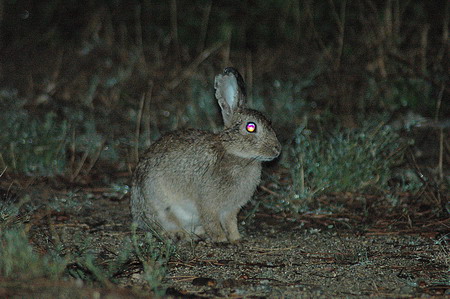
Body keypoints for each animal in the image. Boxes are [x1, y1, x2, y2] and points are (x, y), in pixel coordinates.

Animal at [129, 68, 282, 244]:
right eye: (251, 127)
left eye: (269, 122)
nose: (277, 149)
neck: (236, 154)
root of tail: (137, 214)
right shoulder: (208, 204)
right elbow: (212, 222)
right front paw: (221, 239)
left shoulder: (231, 210)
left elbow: (231, 223)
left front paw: (236, 238)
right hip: (161, 207)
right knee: (161, 227)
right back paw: (181, 235)